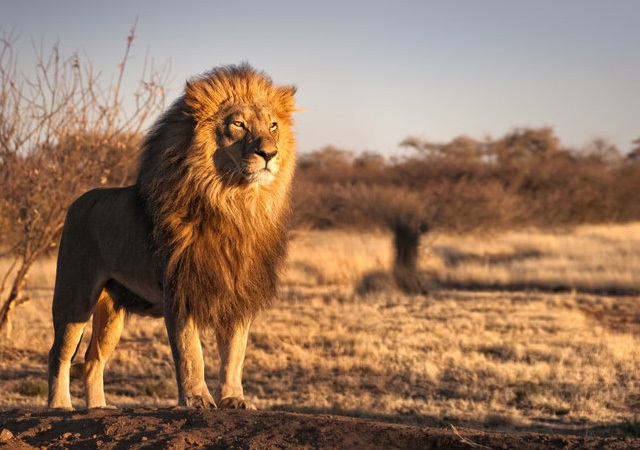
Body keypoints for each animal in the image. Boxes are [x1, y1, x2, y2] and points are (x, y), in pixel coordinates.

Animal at [47, 64, 297, 410]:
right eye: (238, 124)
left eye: (273, 125)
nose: (269, 153)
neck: (235, 204)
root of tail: (78, 200)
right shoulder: (179, 288)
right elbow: (191, 352)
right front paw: (196, 399)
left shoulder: (238, 292)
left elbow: (235, 354)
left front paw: (233, 398)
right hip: (75, 296)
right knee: (59, 353)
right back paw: (60, 406)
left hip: (112, 310)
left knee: (93, 358)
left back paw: (98, 407)